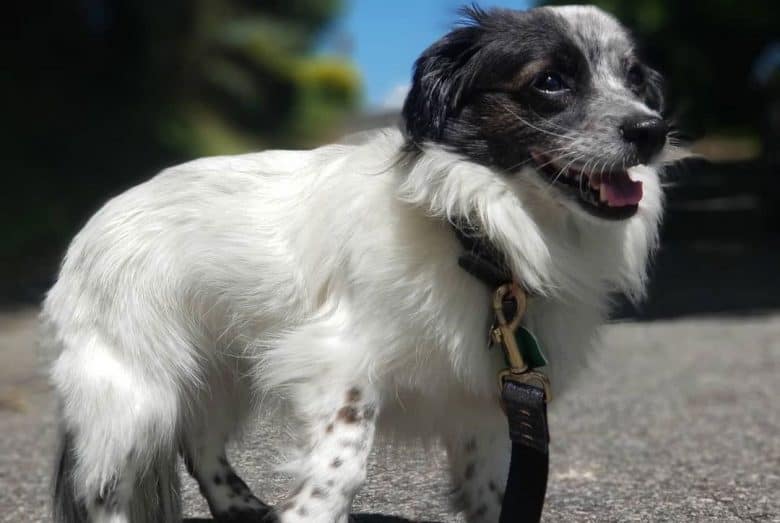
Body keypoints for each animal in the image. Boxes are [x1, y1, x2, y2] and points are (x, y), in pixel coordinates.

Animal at [44, 5, 676, 523]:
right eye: (550, 82)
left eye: (635, 80)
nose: (652, 130)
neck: (475, 230)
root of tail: (93, 226)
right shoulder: (337, 363)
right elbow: (341, 467)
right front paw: (310, 515)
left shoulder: (485, 397)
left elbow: (496, 489)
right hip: (135, 393)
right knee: (103, 489)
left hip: (220, 374)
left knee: (199, 443)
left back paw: (241, 504)